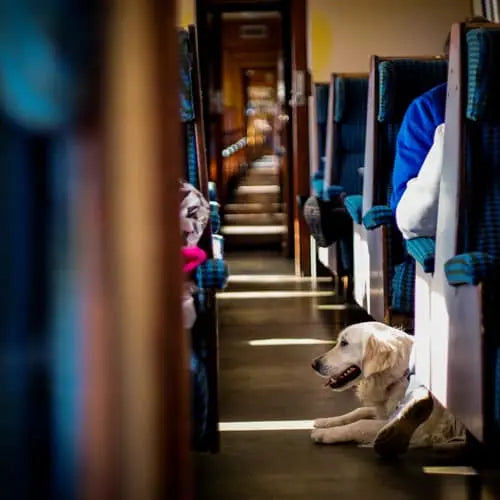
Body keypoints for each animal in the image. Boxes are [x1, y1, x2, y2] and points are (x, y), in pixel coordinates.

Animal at [310, 324, 462, 450]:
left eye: (344, 343)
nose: (314, 364)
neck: (401, 375)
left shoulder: (418, 429)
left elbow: (361, 423)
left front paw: (326, 433)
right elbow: (359, 411)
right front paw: (326, 421)